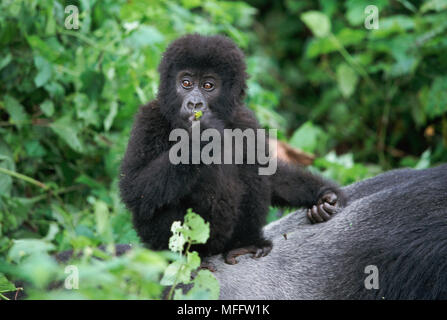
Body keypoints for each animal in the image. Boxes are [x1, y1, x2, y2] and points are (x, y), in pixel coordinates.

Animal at [119, 34, 346, 264]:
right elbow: (134, 188)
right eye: (186, 83)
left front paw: (322, 195)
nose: (194, 104)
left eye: (208, 85)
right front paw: (201, 138)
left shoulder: (245, 120)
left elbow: (268, 171)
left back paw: (245, 243)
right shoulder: (149, 118)